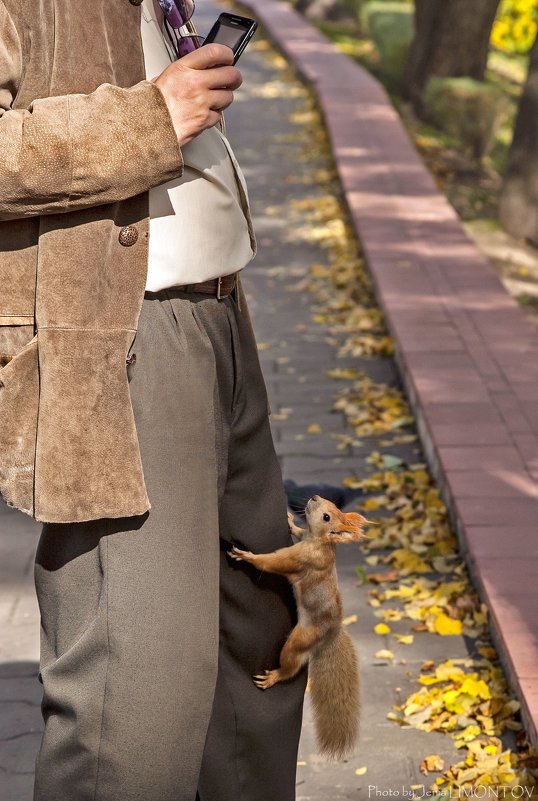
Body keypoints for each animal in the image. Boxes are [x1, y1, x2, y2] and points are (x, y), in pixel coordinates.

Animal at [225, 490, 368, 760]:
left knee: (291, 665)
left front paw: (248, 556)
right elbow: (298, 531)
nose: (315, 497)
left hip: (298, 640)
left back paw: (275, 676)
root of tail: (330, 635)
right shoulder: (304, 540)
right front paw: (291, 522)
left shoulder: (301, 558)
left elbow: (272, 563)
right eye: (331, 507)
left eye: (327, 516)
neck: (320, 541)